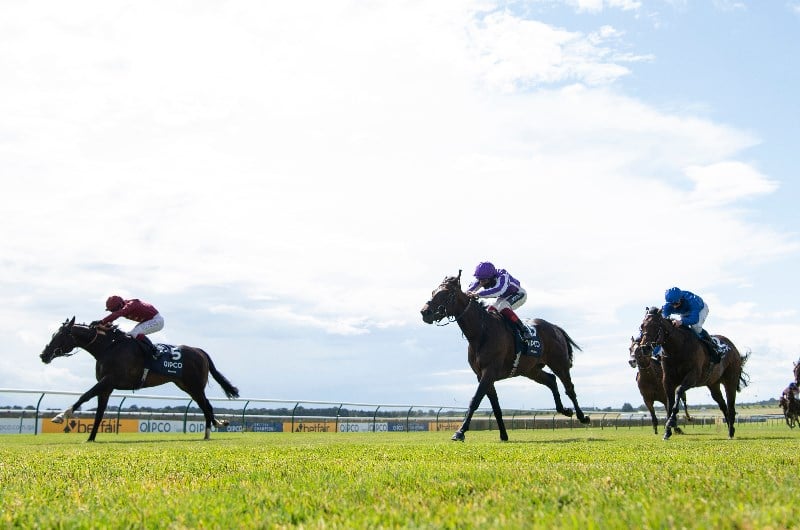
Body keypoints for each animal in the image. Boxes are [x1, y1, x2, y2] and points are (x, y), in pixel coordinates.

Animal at [40, 316, 239, 440]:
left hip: (195, 386)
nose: (44, 355)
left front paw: (61, 416)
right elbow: (99, 413)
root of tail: (200, 351)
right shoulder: (106, 387)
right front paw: (91, 438)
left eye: (60, 336)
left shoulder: (109, 380)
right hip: (186, 386)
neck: (108, 347)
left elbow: (85, 395)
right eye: (53, 334)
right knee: (206, 406)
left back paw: (209, 432)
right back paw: (215, 426)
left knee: (207, 406)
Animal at [418, 270, 588, 440]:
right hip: (530, 369)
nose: (425, 312)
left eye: (446, 294)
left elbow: (475, 400)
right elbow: (496, 406)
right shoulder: (482, 375)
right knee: (551, 380)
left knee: (569, 388)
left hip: (559, 363)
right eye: (433, 292)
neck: (482, 332)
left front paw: (460, 431)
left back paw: (582, 416)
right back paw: (565, 410)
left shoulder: (489, 371)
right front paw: (503, 435)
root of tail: (555, 327)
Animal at [636, 306, 748, 438]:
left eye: (655, 325)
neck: (677, 348)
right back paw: (731, 428)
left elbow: (679, 392)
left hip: (730, 380)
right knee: (722, 405)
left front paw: (671, 422)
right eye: (642, 326)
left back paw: (731, 431)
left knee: (730, 406)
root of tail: (733, 347)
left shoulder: (692, 377)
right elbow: (669, 402)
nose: (644, 348)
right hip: (713, 384)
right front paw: (667, 431)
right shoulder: (667, 380)